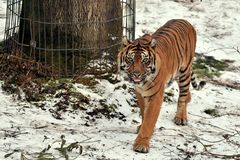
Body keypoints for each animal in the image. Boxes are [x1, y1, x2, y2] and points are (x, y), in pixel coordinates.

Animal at [117, 19, 205, 153]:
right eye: (130, 60)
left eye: (144, 61)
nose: (136, 74)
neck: (142, 83)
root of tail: (185, 21)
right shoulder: (140, 93)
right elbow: (144, 112)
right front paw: (142, 127)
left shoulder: (155, 96)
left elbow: (149, 119)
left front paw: (141, 144)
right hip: (177, 73)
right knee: (187, 95)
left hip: (184, 72)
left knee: (183, 96)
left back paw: (181, 118)